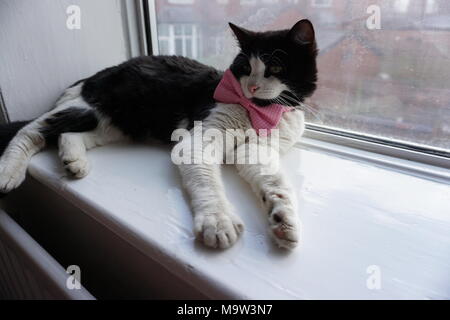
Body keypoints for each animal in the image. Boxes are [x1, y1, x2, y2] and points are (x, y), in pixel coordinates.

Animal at [0, 19, 318, 250]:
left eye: (275, 66)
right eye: (244, 67)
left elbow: (274, 181)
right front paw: (218, 220)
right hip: (89, 107)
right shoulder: (199, 138)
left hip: (115, 125)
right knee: (31, 130)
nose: (251, 87)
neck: (261, 111)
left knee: (69, 134)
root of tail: (91, 78)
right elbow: (206, 180)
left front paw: (283, 220)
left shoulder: (258, 150)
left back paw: (73, 161)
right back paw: (8, 171)